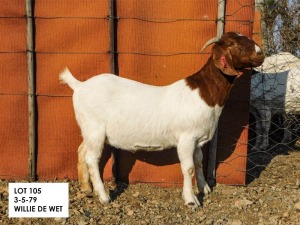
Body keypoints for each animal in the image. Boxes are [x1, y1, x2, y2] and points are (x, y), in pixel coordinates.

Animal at [59, 32, 264, 207]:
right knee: (92, 158)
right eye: (232, 44)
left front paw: (204, 188)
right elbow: (188, 167)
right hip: (95, 129)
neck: (205, 94)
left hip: (88, 129)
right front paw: (191, 200)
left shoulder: (197, 139)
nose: (260, 53)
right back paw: (103, 196)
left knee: (82, 151)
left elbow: (198, 161)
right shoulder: (186, 138)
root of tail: (79, 86)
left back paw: (86, 188)